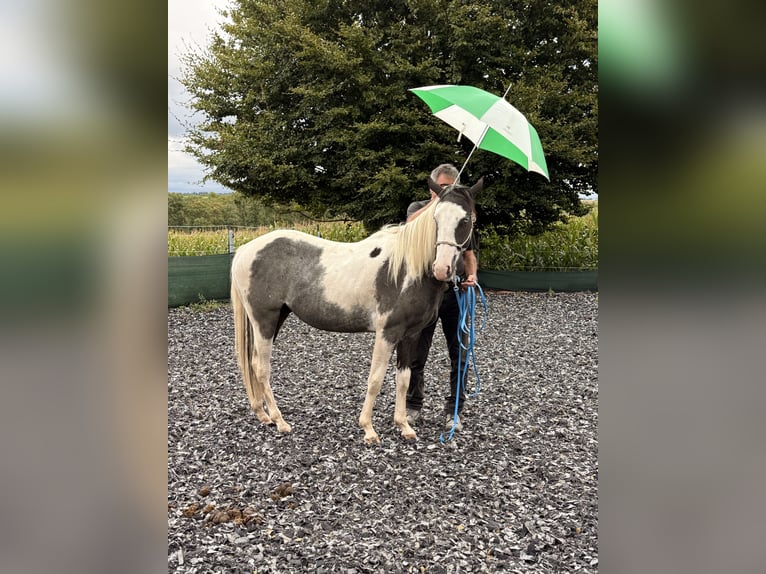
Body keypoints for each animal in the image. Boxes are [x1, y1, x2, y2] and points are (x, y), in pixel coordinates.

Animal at [230, 177, 482, 444]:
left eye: (466, 220)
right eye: (436, 218)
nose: (442, 268)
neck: (406, 269)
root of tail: (246, 250)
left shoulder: (410, 334)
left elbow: (403, 379)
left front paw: (404, 426)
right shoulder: (387, 332)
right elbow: (376, 379)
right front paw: (369, 429)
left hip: (276, 318)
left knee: (253, 363)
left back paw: (263, 415)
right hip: (264, 320)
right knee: (261, 368)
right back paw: (280, 421)